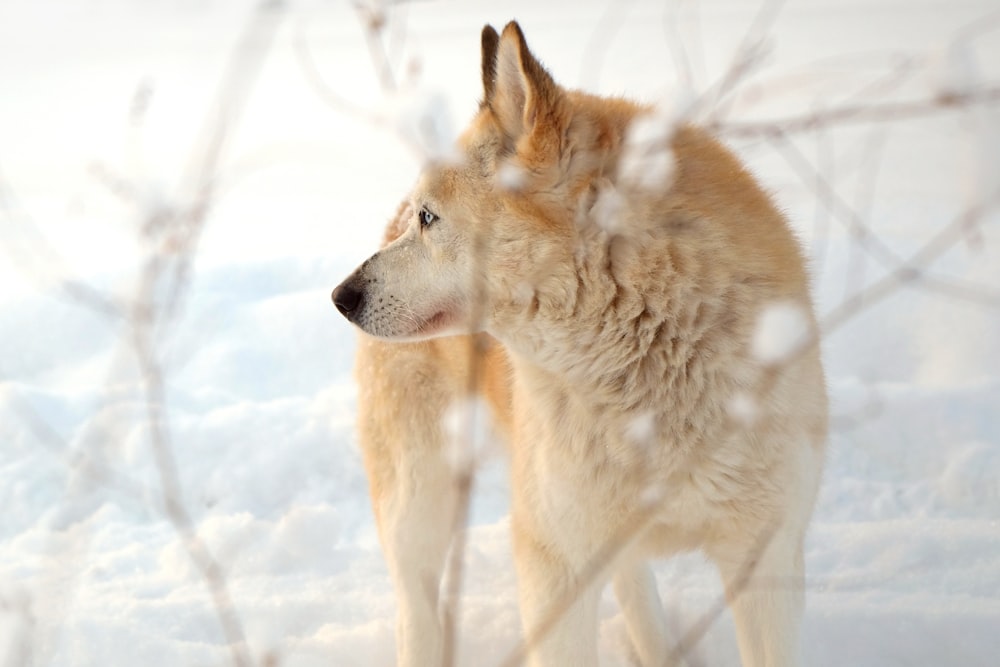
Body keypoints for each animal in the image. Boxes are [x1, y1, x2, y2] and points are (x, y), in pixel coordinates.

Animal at [332, 20, 824, 667]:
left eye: (430, 218)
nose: (341, 295)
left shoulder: (766, 557)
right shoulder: (556, 566)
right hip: (420, 500)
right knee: (415, 606)